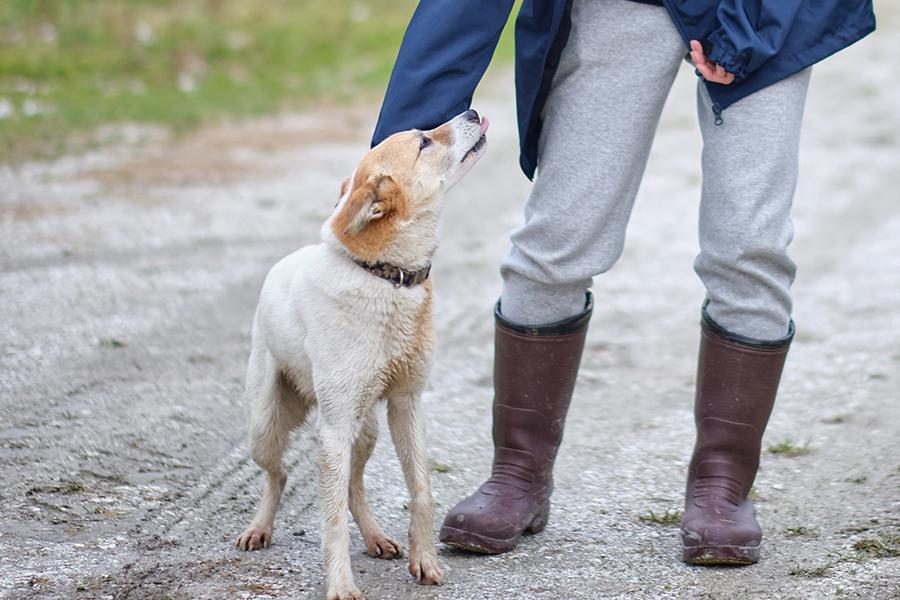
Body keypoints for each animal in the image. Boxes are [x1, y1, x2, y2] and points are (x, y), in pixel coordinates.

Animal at [232, 109, 486, 600]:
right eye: (424, 142)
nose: (471, 111)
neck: (386, 277)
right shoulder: (332, 429)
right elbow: (330, 519)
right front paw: (341, 586)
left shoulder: (408, 403)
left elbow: (421, 488)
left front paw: (425, 560)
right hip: (265, 428)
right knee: (279, 476)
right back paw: (259, 528)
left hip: (364, 429)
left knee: (351, 486)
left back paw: (375, 537)